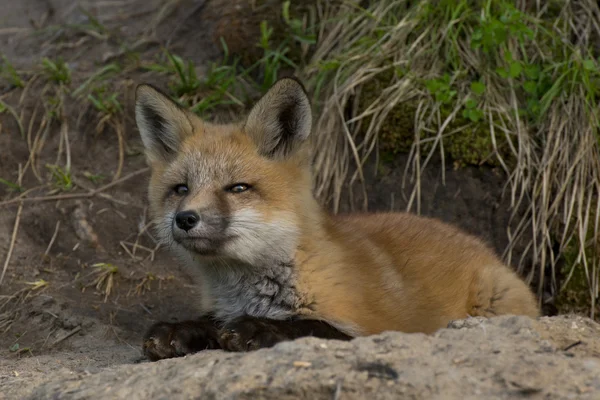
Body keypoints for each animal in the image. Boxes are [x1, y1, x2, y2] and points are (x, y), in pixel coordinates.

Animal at [135, 76, 540, 360]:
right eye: (181, 189)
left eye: (238, 188)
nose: (186, 218)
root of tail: (479, 244)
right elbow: (210, 320)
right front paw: (181, 331)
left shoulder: (379, 330)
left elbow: (309, 326)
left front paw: (256, 328)